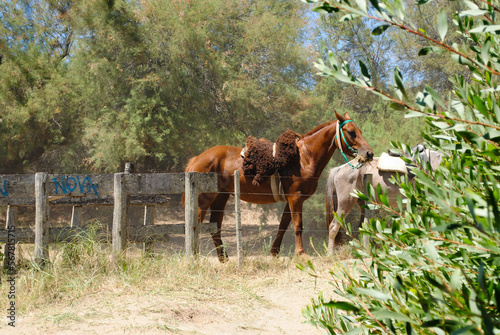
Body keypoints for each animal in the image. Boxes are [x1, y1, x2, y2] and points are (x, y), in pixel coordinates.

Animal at [186, 111, 374, 262]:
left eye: (360, 131)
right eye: (351, 132)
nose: (369, 153)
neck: (304, 158)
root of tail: (196, 159)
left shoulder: (291, 201)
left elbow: (283, 225)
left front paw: (275, 252)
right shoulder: (295, 199)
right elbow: (298, 226)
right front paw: (301, 253)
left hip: (221, 197)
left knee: (215, 227)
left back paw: (223, 257)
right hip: (204, 199)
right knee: (195, 224)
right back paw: (194, 256)